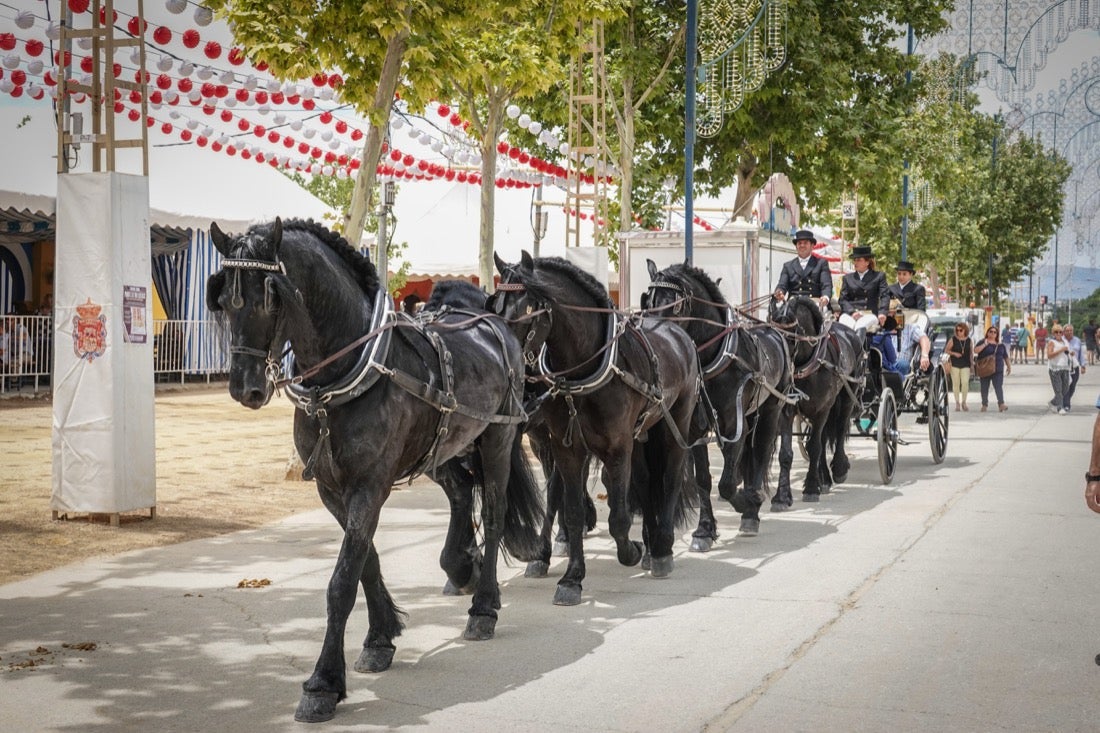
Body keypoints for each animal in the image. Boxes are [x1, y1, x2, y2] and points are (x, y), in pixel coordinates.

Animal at [204, 216, 543, 717]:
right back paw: (460, 565)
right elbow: (366, 560)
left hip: (496, 439)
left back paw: (483, 607)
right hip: (439, 449)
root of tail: (494, 323)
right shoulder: (332, 489)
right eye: (225, 299)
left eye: (271, 296)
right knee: (461, 490)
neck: (339, 380)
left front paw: (323, 682)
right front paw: (381, 637)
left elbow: (342, 581)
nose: (245, 389)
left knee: (496, 510)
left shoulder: (370, 486)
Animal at [490, 248, 695, 603]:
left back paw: (662, 549)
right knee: (645, 482)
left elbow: (619, 516)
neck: (583, 370)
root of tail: (676, 332)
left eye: (526, 310)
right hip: (640, 435)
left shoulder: (617, 446)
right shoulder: (566, 447)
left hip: (675, 424)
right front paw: (572, 578)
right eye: (496, 307)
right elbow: (571, 509)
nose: (505, 365)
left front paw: (631, 550)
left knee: (669, 479)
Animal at [642, 259, 796, 545]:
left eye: (675, 304)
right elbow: (704, 478)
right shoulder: (694, 429)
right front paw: (704, 529)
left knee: (760, 451)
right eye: (648, 301)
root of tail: (774, 331)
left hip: (772, 408)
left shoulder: (732, 423)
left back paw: (753, 506)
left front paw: (746, 503)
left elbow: (726, 484)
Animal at [770, 292, 862, 501]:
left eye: (792, 332)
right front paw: (782, 495)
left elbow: (814, 446)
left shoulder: (822, 409)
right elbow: (786, 452)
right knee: (824, 437)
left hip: (846, 398)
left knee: (839, 429)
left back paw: (838, 469)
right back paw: (825, 478)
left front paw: (811, 487)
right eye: (770, 330)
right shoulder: (787, 410)